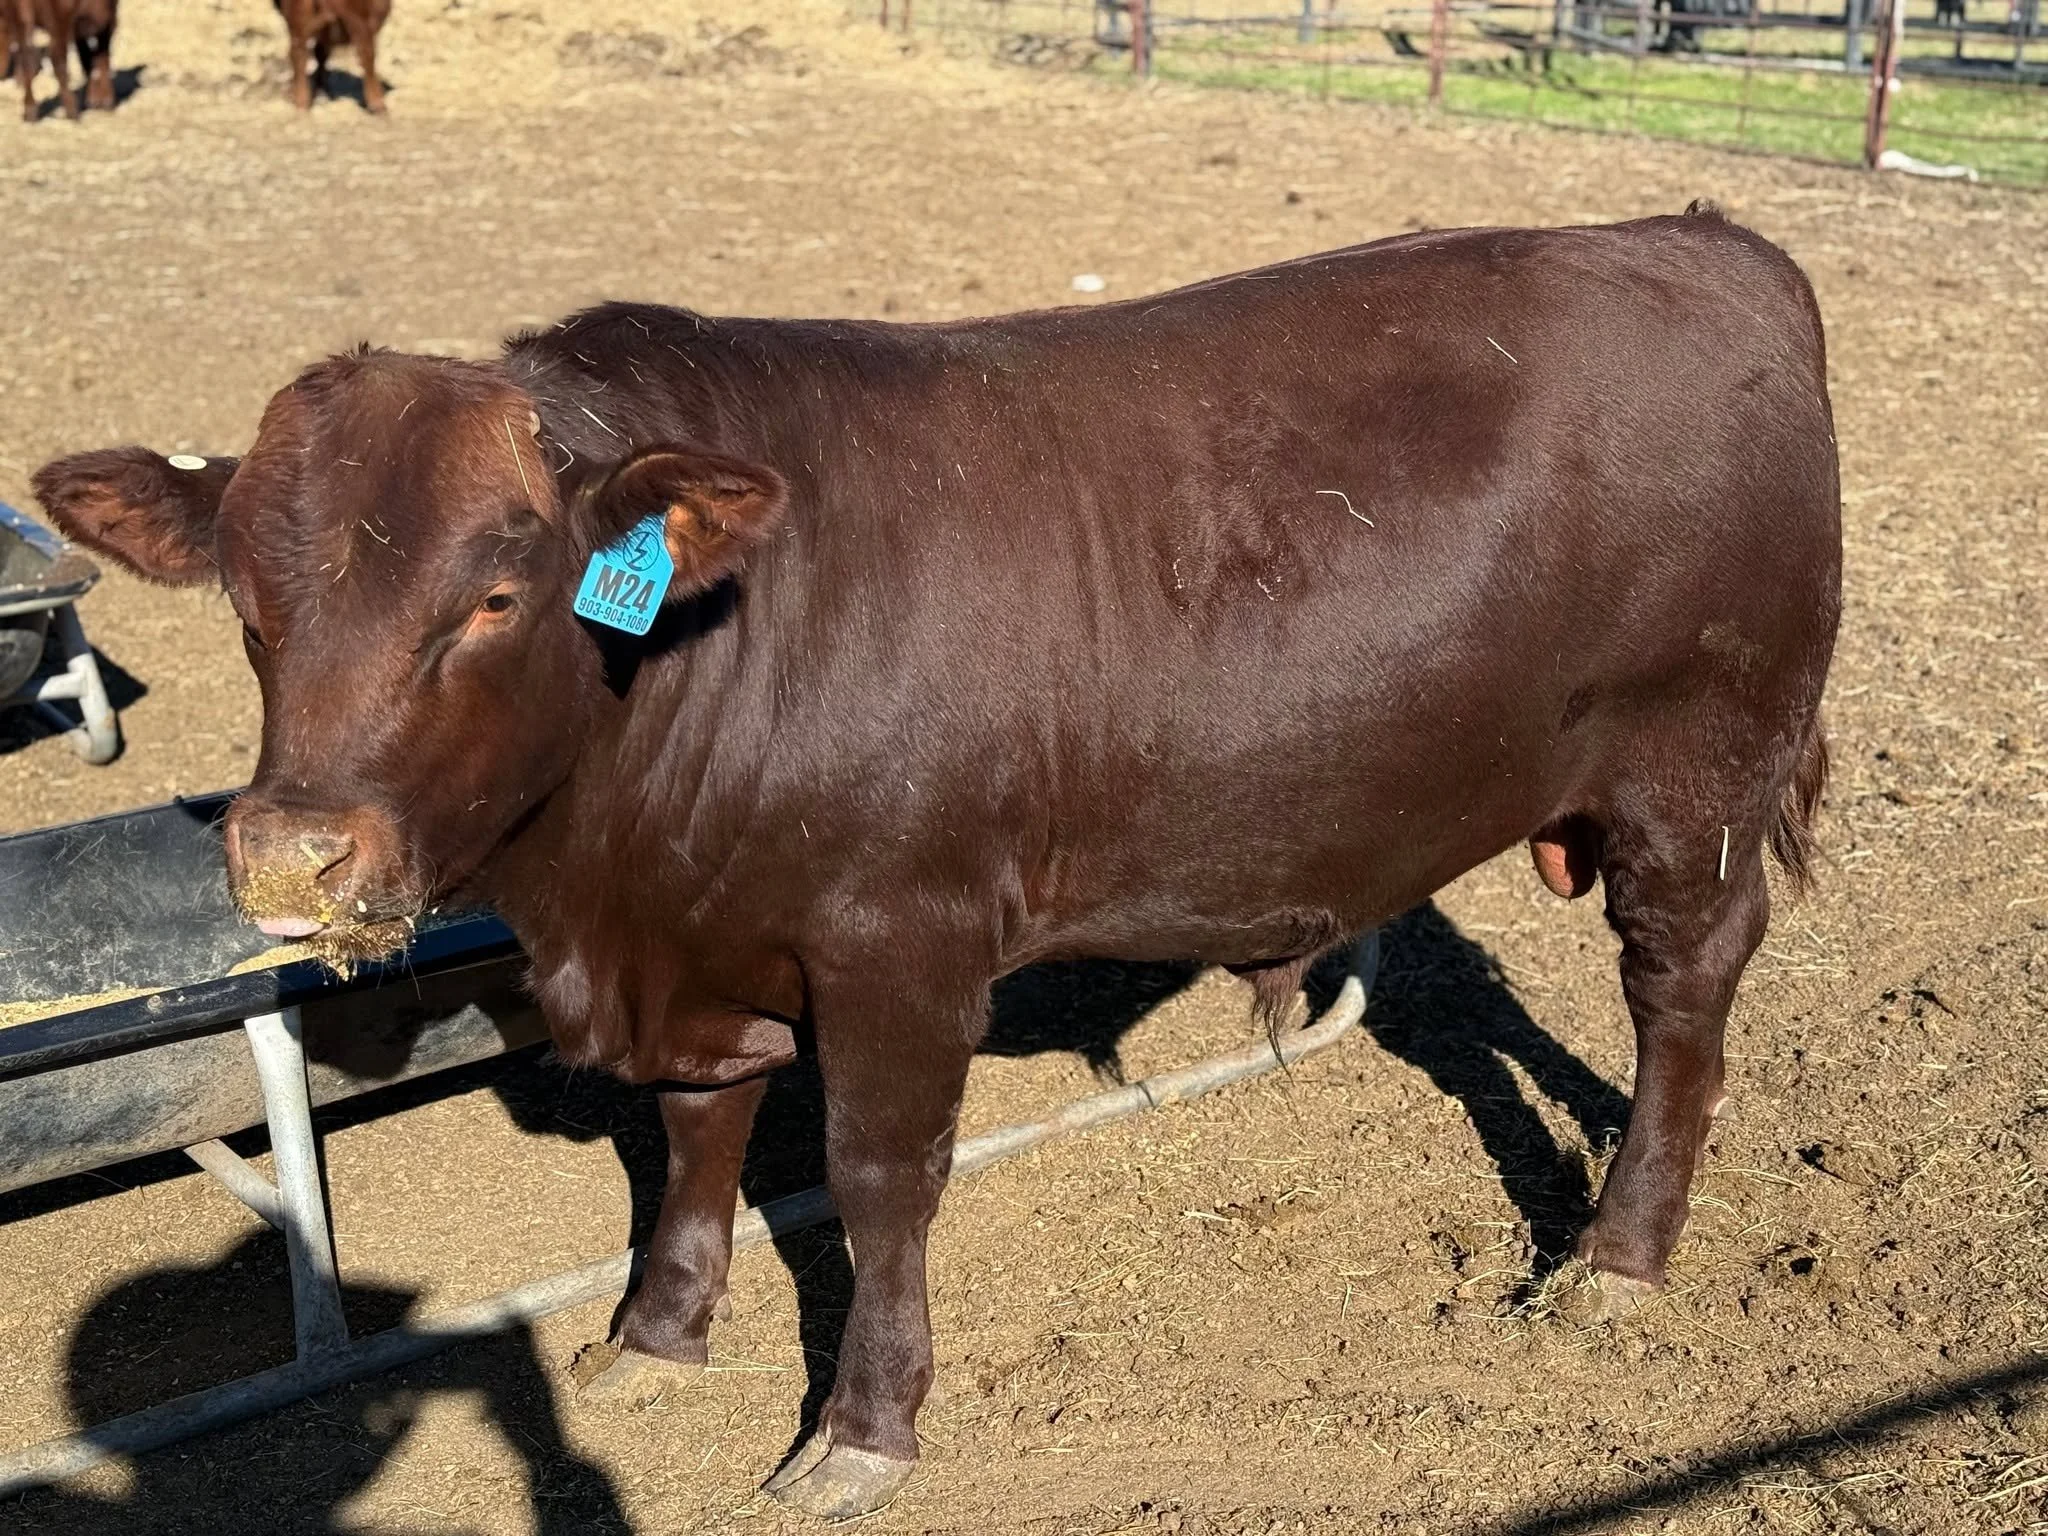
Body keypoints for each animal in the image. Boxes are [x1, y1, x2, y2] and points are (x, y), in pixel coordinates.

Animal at [34, 205, 1839, 1519]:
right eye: (248, 605)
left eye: (493, 594)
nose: (293, 854)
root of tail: (1697, 235)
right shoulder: (700, 947)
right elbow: (696, 1134)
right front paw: (656, 1335)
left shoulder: (899, 941)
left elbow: (881, 1179)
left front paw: (862, 1427)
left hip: (1691, 782)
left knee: (1680, 993)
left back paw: (1617, 1256)